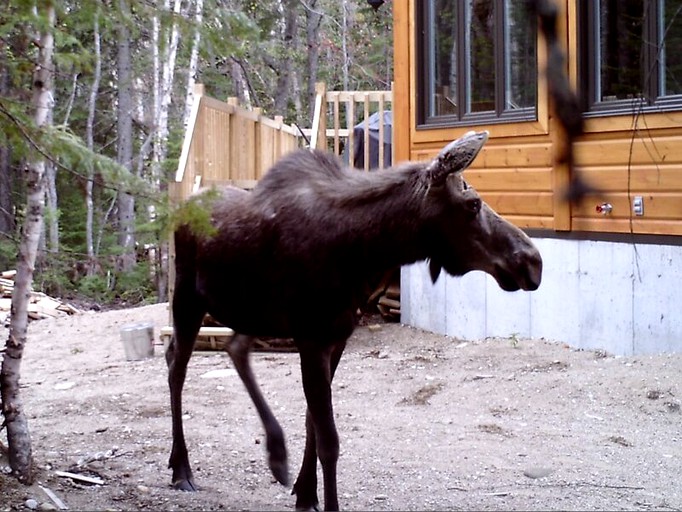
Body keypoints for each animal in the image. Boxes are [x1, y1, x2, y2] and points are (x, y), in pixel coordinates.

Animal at [166, 130, 540, 510]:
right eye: (473, 204)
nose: (532, 260)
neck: (362, 252)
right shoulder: (311, 338)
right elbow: (329, 441)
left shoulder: (337, 338)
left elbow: (312, 424)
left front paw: (305, 492)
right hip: (187, 298)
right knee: (176, 366)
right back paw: (181, 468)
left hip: (251, 313)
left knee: (233, 347)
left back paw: (276, 454)